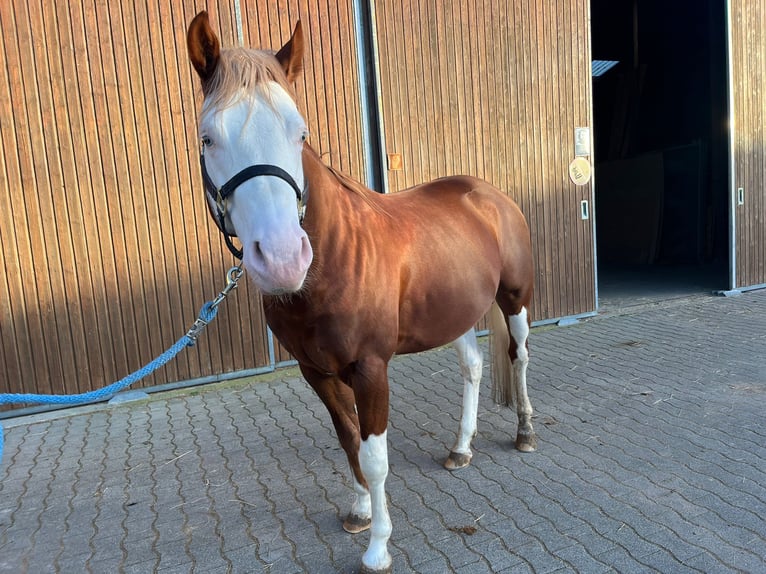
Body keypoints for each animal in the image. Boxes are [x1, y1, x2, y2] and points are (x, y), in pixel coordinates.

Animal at [187, 12, 536, 573]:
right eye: (208, 139)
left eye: (299, 131)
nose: (282, 258)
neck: (334, 263)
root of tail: (488, 194)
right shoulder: (317, 371)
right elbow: (348, 438)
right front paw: (359, 513)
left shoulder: (371, 369)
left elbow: (374, 457)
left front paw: (378, 547)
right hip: (454, 313)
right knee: (474, 366)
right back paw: (461, 448)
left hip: (515, 298)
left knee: (518, 356)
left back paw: (525, 431)